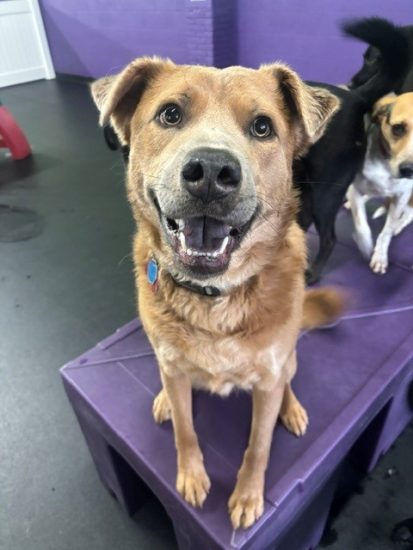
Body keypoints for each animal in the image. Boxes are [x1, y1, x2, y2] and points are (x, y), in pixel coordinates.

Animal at [91, 57, 343, 529]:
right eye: (170, 114)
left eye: (262, 127)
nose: (210, 171)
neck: (214, 297)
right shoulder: (172, 366)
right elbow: (185, 430)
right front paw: (191, 474)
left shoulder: (267, 379)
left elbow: (259, 447)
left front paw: (246, 496)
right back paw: (165, 401)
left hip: (287, 360)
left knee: (288, 378)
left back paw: (291, 407)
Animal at [348, 92, 413, 274]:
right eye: (398, 128)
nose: (409, 170)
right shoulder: (354, 188)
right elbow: (361, 225)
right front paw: (365, 245)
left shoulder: (401, 197)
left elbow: (387, 232)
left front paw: (380, 256)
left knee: (409, 213)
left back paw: (399, 224)